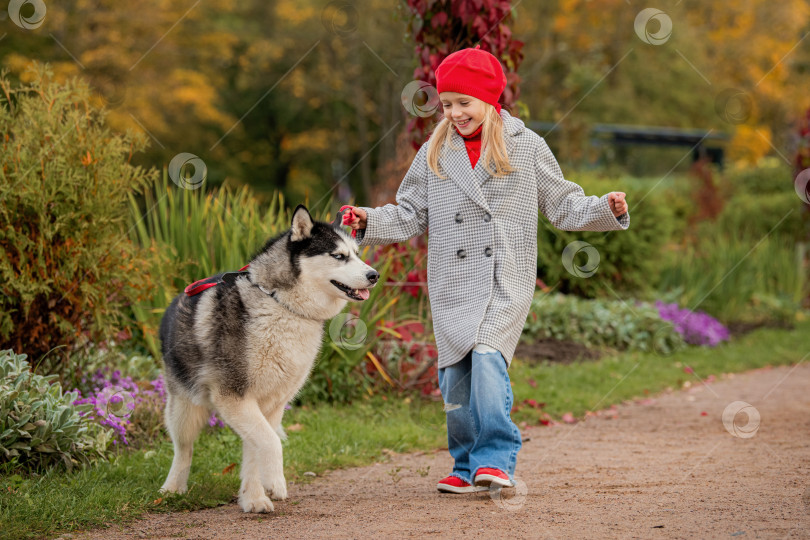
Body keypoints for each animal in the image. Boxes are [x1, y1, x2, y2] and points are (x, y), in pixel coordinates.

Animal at [158, 205, 378, 512]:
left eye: (357, 253)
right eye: (338, 256)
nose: (374, 275)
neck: (280, 304)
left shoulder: (270, 404)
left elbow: (259, 447)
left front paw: (254, 497)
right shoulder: (233, 396)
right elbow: (272, 443)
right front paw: (275, 481)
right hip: (185, 407)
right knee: (183, 448)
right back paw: (172, 488)